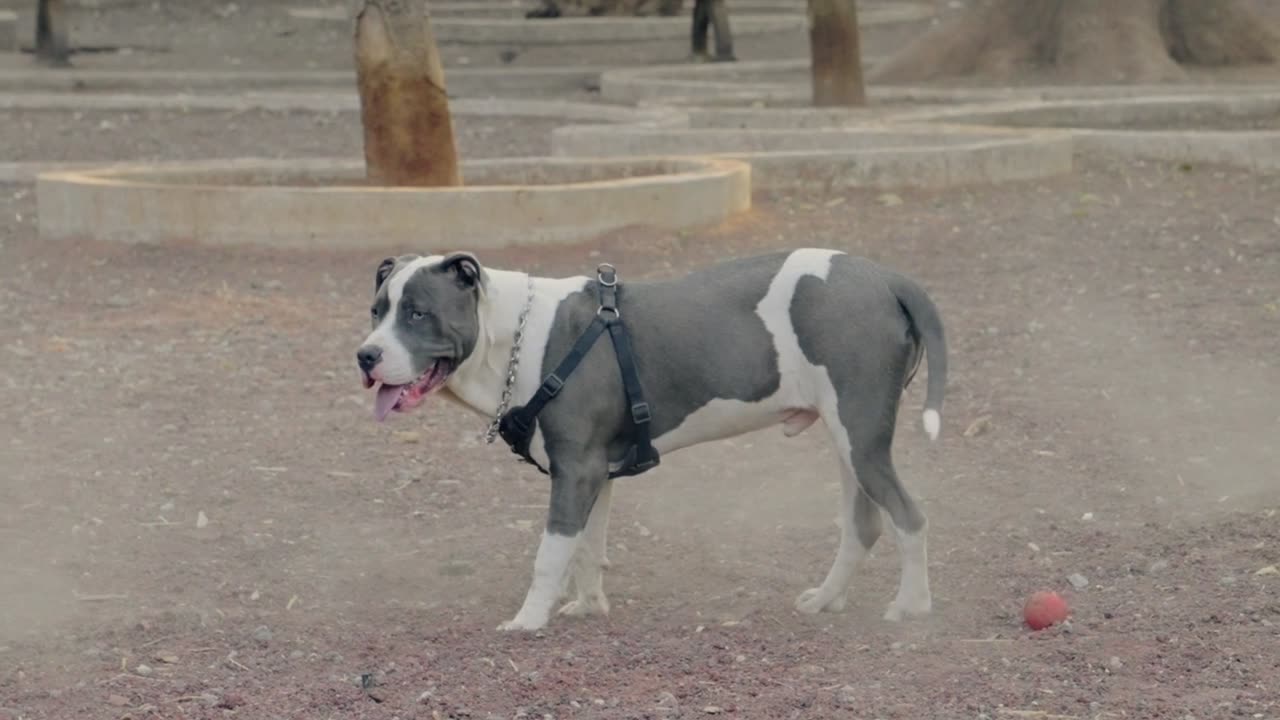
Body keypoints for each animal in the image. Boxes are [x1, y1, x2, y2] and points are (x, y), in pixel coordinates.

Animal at [355, 245, 947, 627]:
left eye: (418, 313)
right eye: (377, 311)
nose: (365, 355)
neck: (512, 335)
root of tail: (886, 278)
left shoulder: (576, 469)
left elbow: (550, 553)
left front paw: (527, 621)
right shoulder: (594, 473)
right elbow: (587, 547)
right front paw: (588, 606)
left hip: (861, 436)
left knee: (911, 517)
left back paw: (911, 607)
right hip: (849, 441)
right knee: (863, 525)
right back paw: (826, 600)